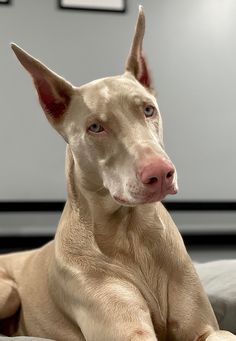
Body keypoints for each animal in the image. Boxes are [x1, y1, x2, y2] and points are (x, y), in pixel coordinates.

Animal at [0, 5, 236, 340]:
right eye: (96, 127)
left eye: (148, 110)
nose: (160, 173)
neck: (132, 233)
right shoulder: (129, 331)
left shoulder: (203, 327)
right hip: (7, 290)